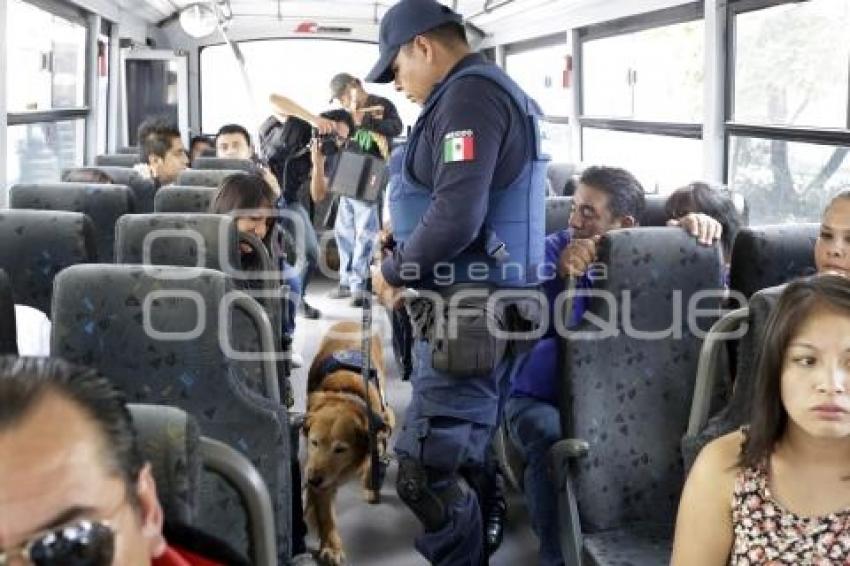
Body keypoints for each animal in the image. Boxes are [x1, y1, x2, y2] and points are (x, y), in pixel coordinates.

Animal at [304, 322, 396, 564]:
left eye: (340, 449)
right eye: (314, 442)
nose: (312, 479)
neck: (345, 395)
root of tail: (349, 322)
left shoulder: (381, 424)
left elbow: (374, 458)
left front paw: (371, 484)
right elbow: (325, 514)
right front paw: (332, 547)